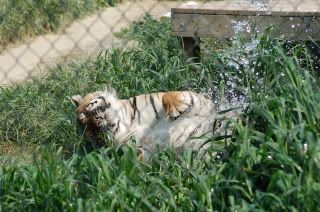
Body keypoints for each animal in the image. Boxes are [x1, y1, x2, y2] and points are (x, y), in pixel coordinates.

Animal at [71, 87, 230, 159]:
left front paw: (176, 108)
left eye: (87, 114)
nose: (97, 124)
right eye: (96, 136)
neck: (128, 124)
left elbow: (168, 95)